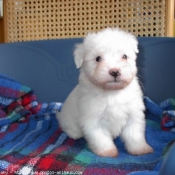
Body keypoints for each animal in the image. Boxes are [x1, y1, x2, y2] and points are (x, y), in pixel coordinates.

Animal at [56, 28, 152, 158]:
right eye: (98, 59)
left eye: (124, 56)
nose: (115, 71)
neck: (112, 93)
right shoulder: (93, 120)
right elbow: (101, 138)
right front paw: (108, 152)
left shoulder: (134, 115)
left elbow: (134, 135)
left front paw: (140, 149)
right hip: (67, 120)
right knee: (68, 128)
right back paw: (75, 134)